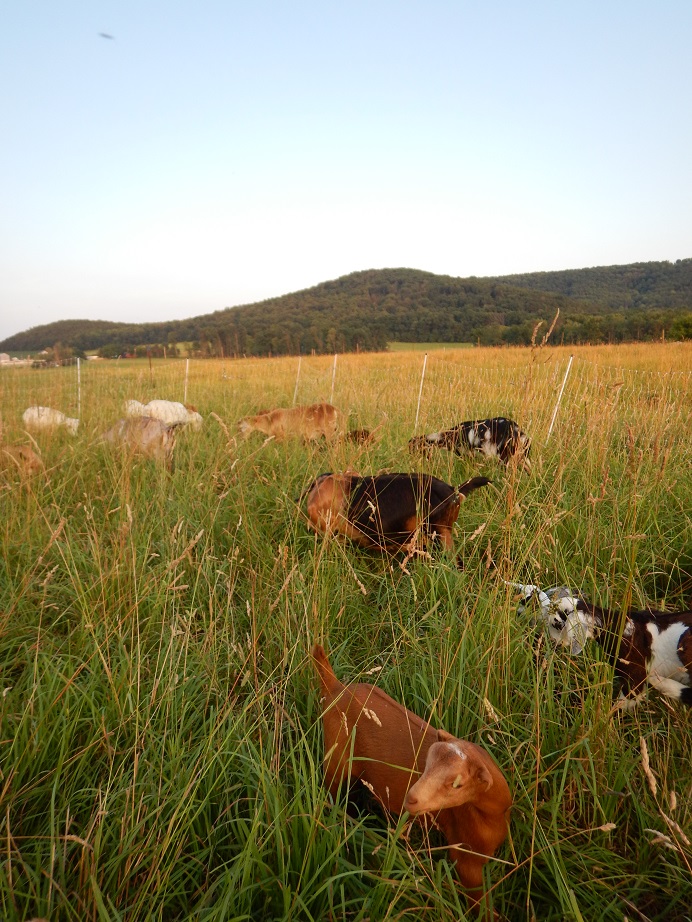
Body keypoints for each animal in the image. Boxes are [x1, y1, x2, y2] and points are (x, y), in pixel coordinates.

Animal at [312, 644, 512, 912]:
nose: (412, 798)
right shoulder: (465, 858)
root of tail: (336, 687)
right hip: (336, 761)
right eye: (425, 765)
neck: (494, 815)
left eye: (457, 784)